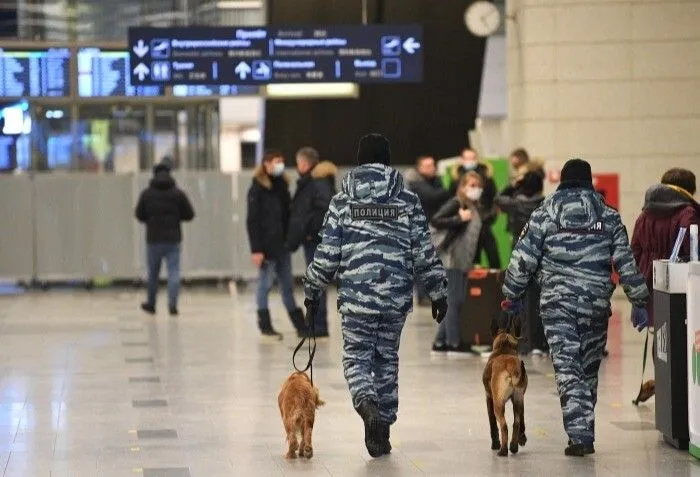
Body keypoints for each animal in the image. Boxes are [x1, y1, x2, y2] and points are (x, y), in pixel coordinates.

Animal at [484, 318, 528, 456]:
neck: (504, 349)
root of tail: (510, 368)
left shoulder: (489, 398)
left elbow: (492, 423)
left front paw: (495, 444)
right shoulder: (520, 400)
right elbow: (522, 421)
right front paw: (522, 438)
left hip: (498, 404)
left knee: (504, 426)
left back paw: (503, 450)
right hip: (518, 399)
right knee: (517, 423)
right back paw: (514, 446)